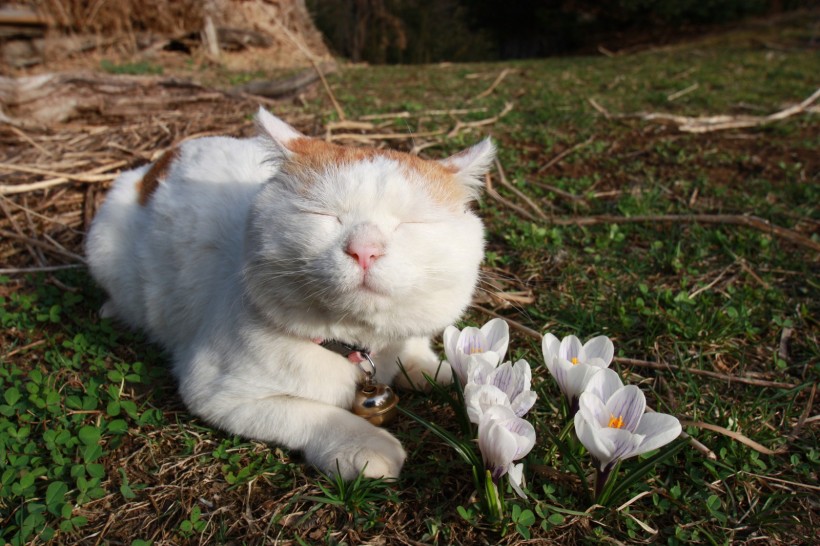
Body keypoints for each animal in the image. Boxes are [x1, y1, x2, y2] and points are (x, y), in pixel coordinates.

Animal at [85, 108, 494, 478]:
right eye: (325, 216)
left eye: (409, 224)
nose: (364, 250)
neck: (363, 347)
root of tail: (162, 159)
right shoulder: (217, 392)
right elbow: (311, 413)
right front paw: (365, 445)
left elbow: (416, 347)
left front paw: (439, 369)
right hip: (102, 242)